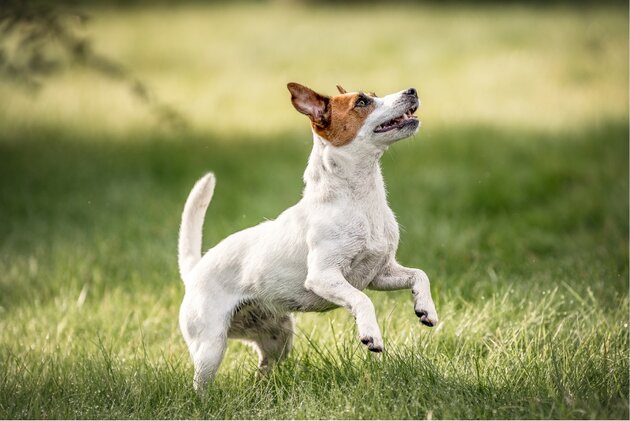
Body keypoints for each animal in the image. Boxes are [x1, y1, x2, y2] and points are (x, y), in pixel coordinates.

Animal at [178, 82, 440, 390]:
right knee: (200, 383)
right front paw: (371, 335)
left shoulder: (379, 273)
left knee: (263, 368)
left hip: (279, 338)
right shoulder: (323, 276)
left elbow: (420, 275)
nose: (411, 90)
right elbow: (361, 300)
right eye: (362, 102)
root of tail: (195, 270)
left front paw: (425, 308)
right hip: (211, 346)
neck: (361, 201)